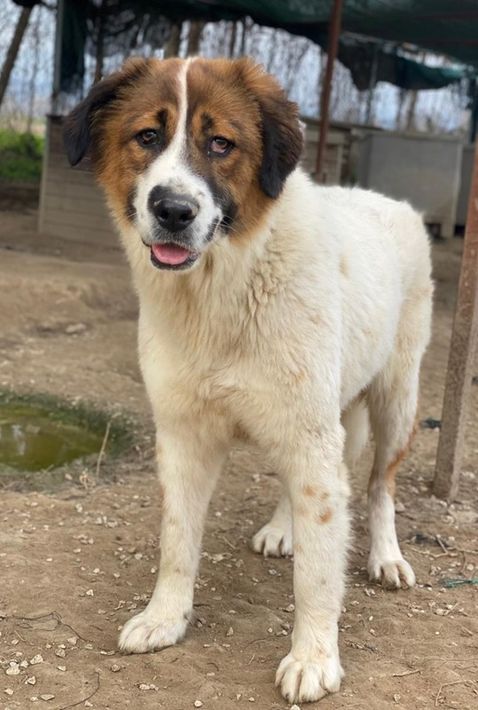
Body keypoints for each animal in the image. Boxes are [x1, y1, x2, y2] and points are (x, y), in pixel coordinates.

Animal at [64, 56, 433, 704]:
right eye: (148, 136)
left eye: (220, 143)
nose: (173, 211)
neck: (223, 288)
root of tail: (389, 201)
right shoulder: (184, 437)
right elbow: (177, 541)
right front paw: (166, 617)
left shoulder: (311, 437)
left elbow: (317, 573)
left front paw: (314, 657)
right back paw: (284, 528)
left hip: (394, 401)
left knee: (379, 486)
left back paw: (386, 556)